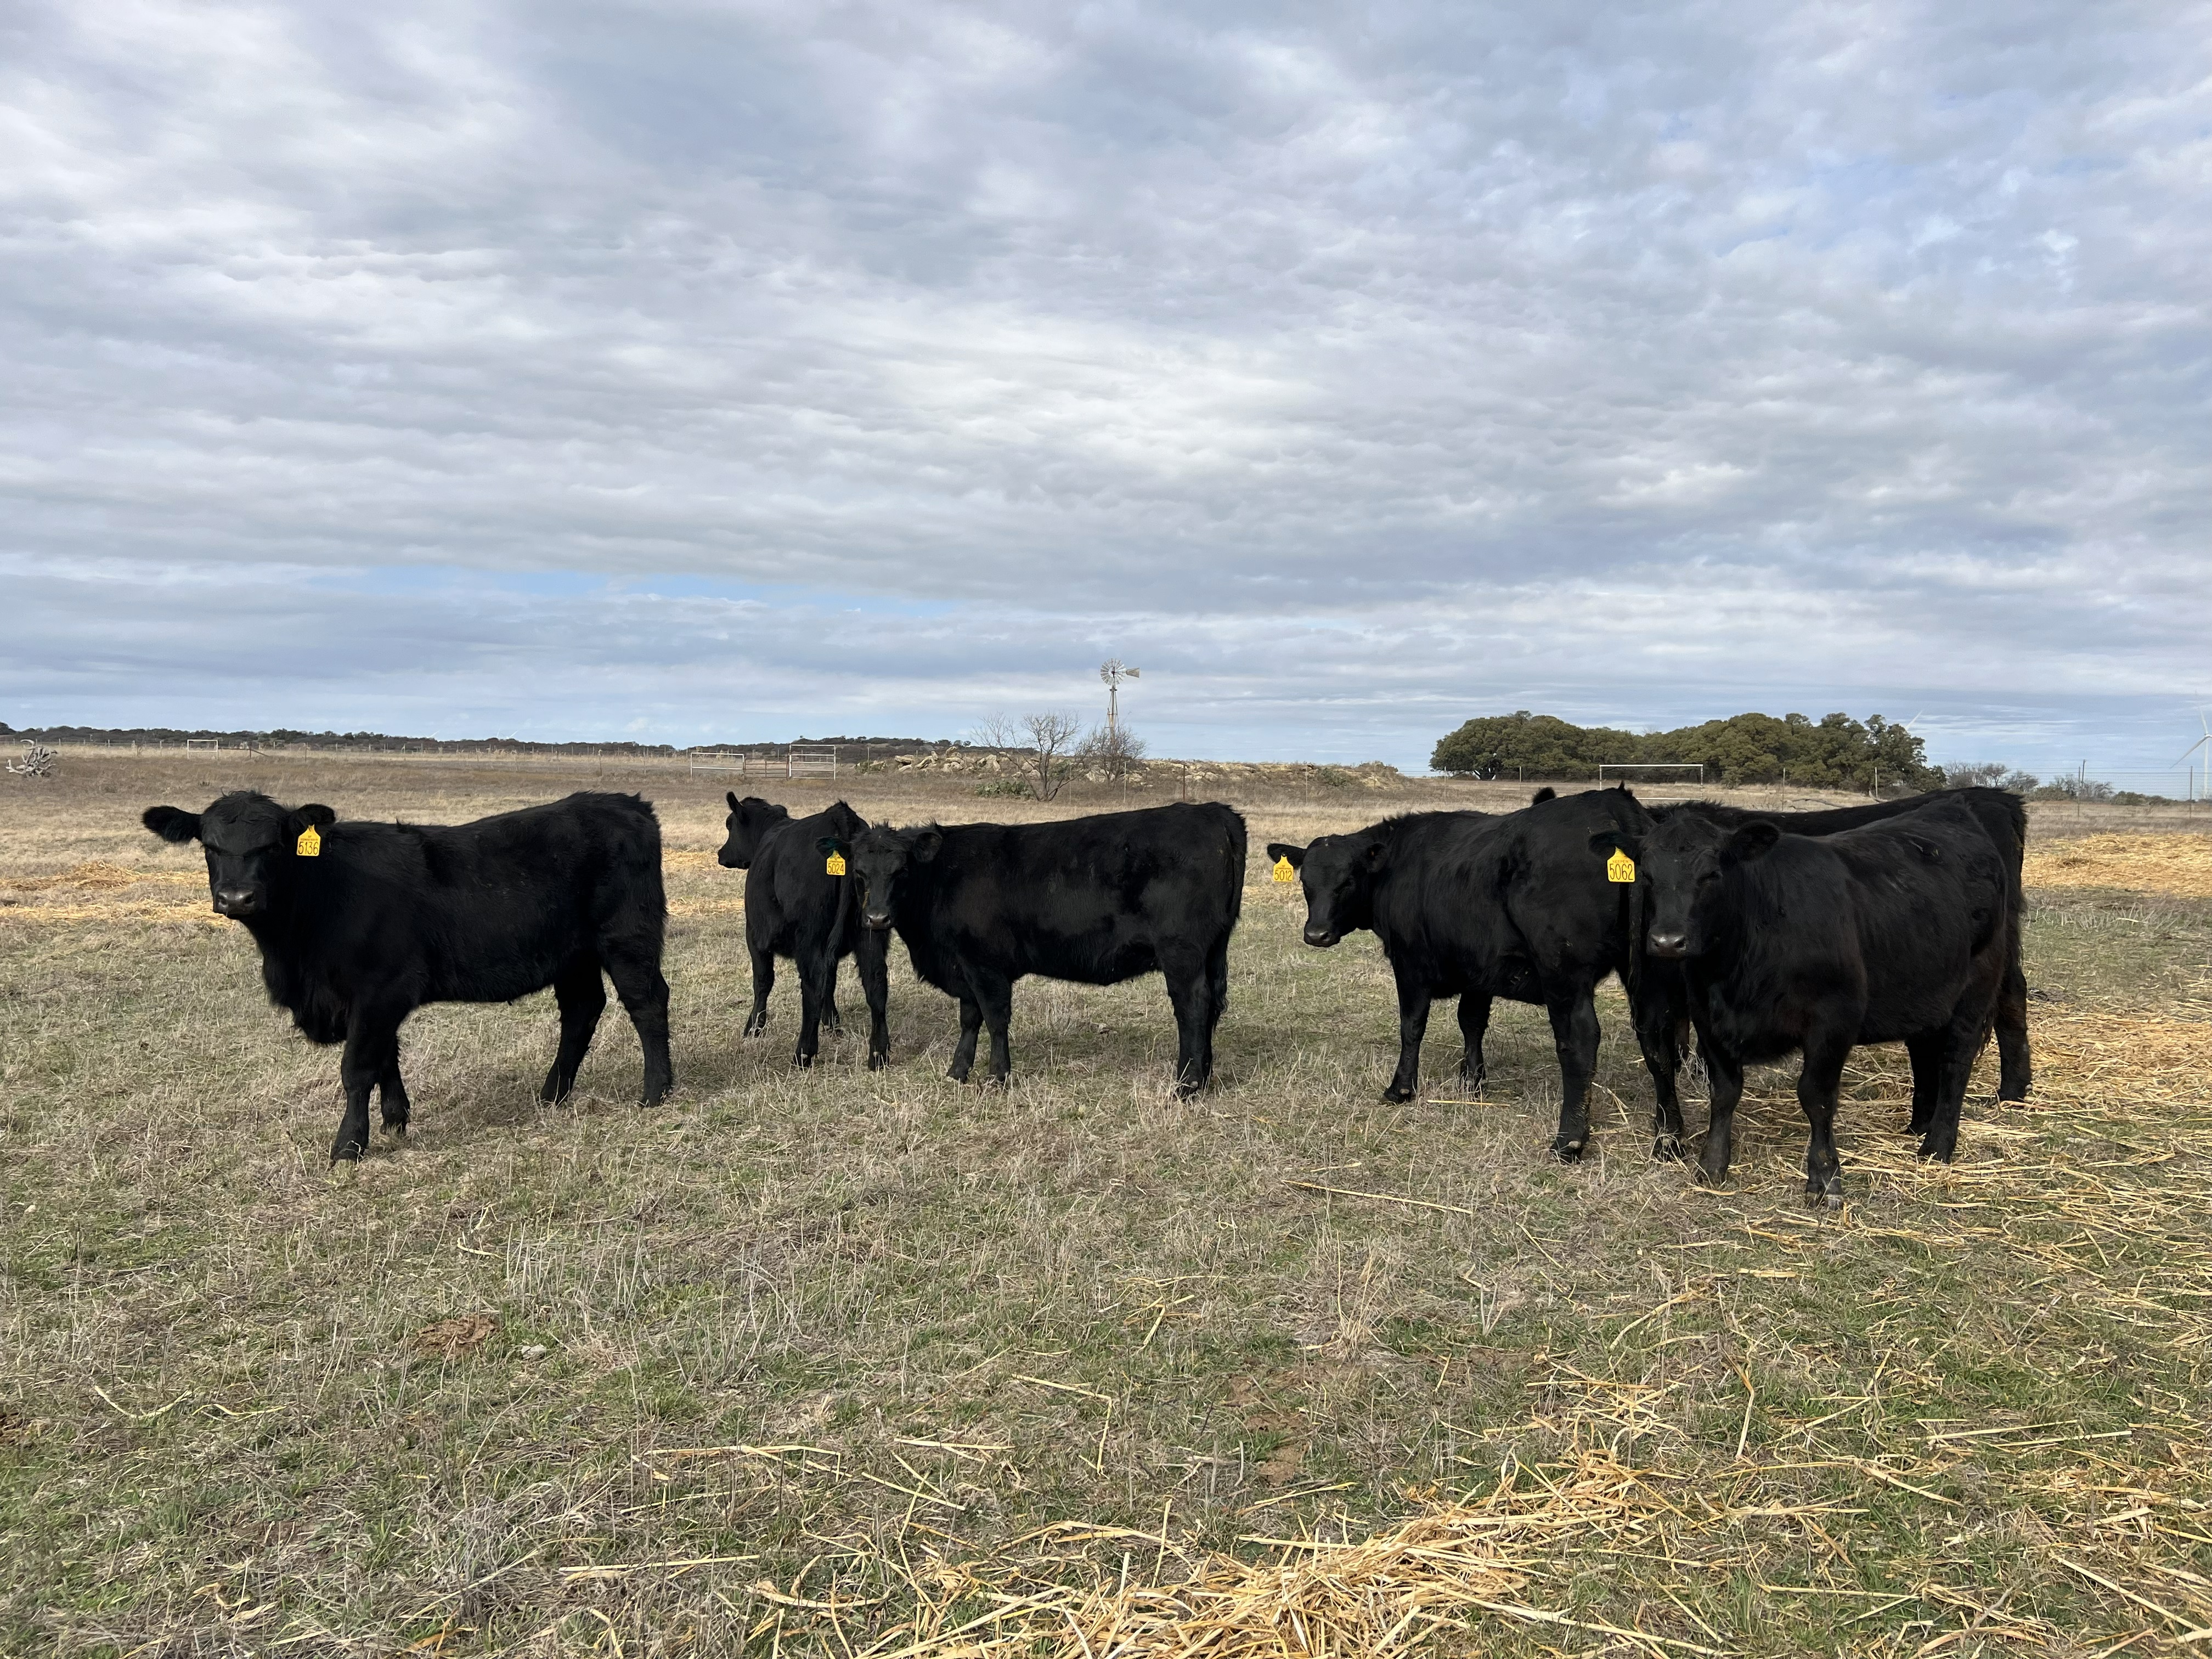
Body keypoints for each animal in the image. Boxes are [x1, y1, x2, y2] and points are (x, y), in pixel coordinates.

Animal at [141, 790, 673, 1162]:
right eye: (210, 846)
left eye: (273, 846)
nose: (237, 898)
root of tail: (626, 804)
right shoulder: (372, 1000)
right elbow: (386, 1058)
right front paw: (395, 1122)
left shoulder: (378, 989)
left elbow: (358, 1068)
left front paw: (349, 1146)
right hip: (573, 955)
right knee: (582, 1011)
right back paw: (552, 1096)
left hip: (628, 938)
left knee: (647, 1004)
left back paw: (655, 1093)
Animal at [716, 793, 888, 1069]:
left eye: (730, 824)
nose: (721, 854)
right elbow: (831, 982)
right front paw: (832, 1024)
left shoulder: (755, 935)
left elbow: (763, 981)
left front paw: (754, 1028)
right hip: (872, 930)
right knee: (876, 983)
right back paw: (879, 1055)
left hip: (810, 938)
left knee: (813, 985)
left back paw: (803, 1054)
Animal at [829, 802, 1247, 1094]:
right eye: (859, 874)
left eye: (901, 871)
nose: (877, 919)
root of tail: (1213, 812)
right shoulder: (965, 965)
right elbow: (970, 1018)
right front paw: (957, 1072)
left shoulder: (985, 965)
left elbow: (995, 1018)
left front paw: (997, 1077)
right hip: (1213, 949)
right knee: (1211, 1006)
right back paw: (1204, 1076)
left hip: (1181, 953)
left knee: (1192, 1007)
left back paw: (1186, 1086)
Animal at [1268, 788, 1681, 1161]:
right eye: (1305, 882)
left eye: (1348, 880)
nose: (1316, 934)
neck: (1398, 866)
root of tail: (1613, 803)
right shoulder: (1479, 969)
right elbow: (1471, 1022)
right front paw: (1471, 1082)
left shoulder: (1410, 964)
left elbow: (1412, 1026)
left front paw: (1401, 1089)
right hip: (1652, 971)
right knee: (1658, 1042)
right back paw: (1669, 1139)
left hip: (1564, 975)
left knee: (1580, 1043)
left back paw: (1570, 1141)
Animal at [1589, 794, 2011, 1205]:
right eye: (1648, 875)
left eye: (1711, 874)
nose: (1667, 942)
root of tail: (1951, 811)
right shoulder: (1708, 1018)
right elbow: (1723, 1092)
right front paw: (1712, 1166)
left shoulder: (1834, 1020)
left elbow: (1815, 1096)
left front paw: (1825, 1178)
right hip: (1924, 992)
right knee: (1924, 1050)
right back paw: (1918, 1127)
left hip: (1977, 985)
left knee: (1956, 1060)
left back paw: (1937, 1146)